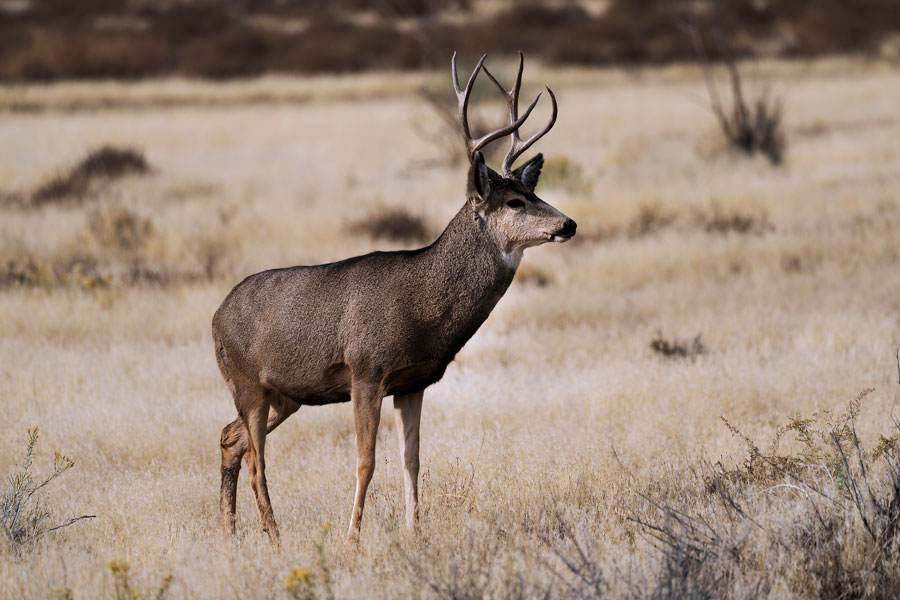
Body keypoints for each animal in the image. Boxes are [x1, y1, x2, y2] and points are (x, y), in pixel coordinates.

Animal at [212, 52, 576, 544]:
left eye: (533, 191)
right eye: (515, 202)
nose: (568, 224)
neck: (423, 307)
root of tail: (216, 315)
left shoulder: (413, 382)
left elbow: (411, 461)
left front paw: (415, 533)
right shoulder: (366, 369)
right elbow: (365, 462)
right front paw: (351, 540)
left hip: (285, 393)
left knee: (230, 439)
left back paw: (229, 534)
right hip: (247, 381)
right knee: (256, 458)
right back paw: (275, 536)